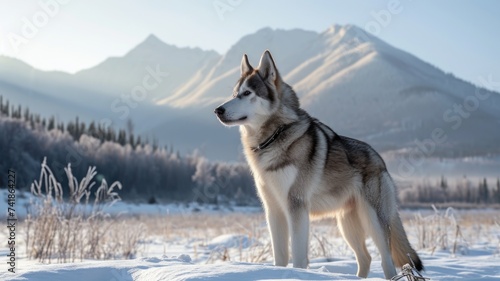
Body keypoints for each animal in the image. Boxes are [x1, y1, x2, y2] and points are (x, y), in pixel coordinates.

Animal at [213, 50, 424, 278]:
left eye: (247, 93)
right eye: (234, 94)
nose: (218, 110)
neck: (273, 136)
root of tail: (381, 160)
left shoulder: (296, 206)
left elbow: (297, 256)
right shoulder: (274, 210)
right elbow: (280, 257)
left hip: (373, 222)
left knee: (386, 261)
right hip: (346, 225)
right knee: (365, 258)